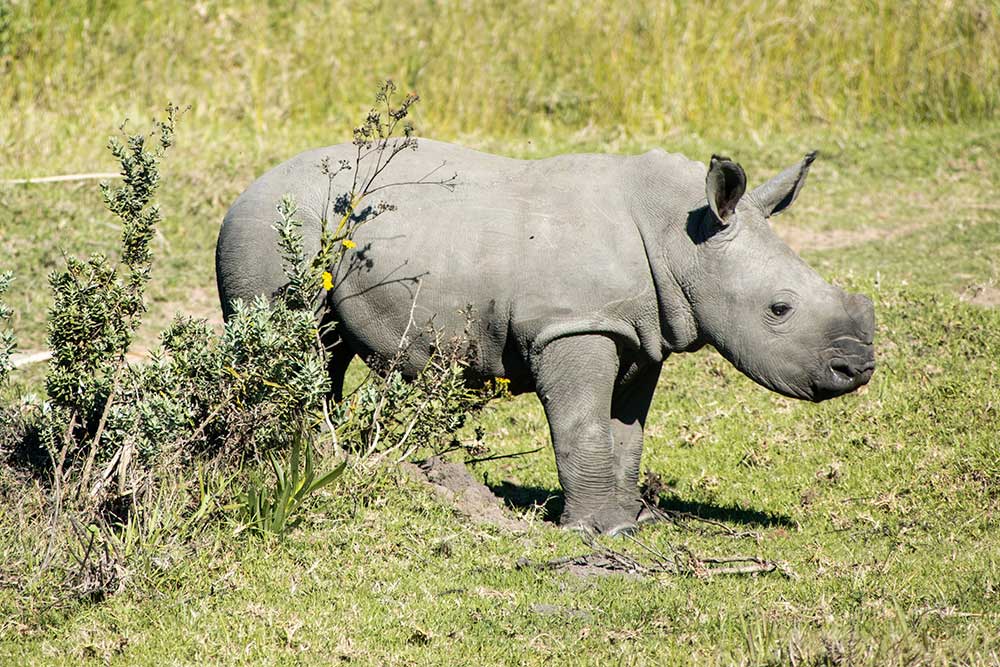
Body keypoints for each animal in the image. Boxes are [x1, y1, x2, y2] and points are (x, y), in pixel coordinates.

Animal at [216, 140, 875, 535]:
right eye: (779, 309)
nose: (859, 369)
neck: (680, 236)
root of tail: (244, 190)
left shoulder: (640, 331)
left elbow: (625, 430)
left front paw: (630, 522)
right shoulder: (572, 324)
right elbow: (582, 426)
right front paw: (592, 531)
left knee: (326, 351)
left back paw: (323, 456)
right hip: (267, 227)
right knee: (292, 335)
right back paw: (296, 460)